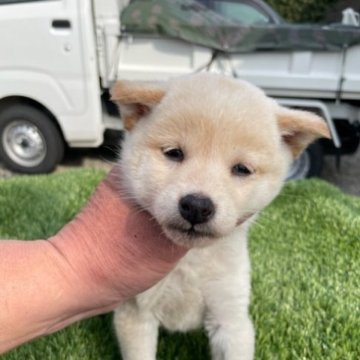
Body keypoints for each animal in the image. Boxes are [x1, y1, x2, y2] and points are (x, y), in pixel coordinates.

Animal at [111, 74, 330, 360]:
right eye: (174, 153)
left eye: (242, 169)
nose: (196, 206)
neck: (192, 261)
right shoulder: (136, 311)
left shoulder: (230, 315)